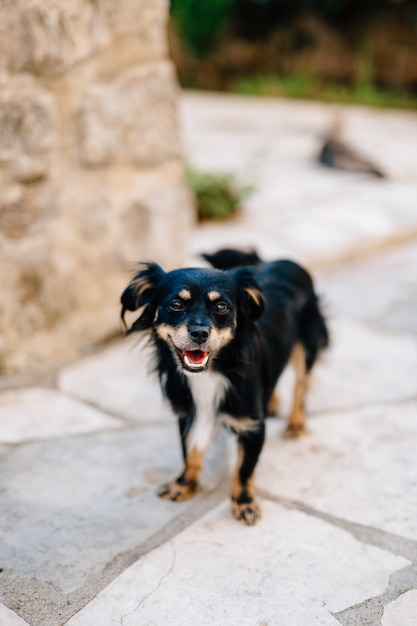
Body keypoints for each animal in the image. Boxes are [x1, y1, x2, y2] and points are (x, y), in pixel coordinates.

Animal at [120, 247, 328, 520]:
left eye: (221, 307)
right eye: (176, 305)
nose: (199, 333)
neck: (212, 372)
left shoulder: (252, 426)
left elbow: (243, 468)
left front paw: (244, 502)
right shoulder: (189, 413)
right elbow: (190, 452)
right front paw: (184, 485)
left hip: (307, 345)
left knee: (301, 385)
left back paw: (296, 422)